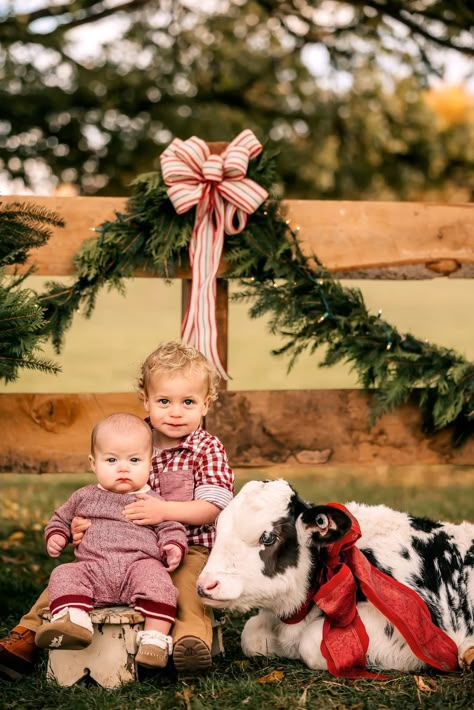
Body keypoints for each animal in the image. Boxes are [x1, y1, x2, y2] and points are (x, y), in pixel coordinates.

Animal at [197, 482, 474, 676]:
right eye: (218, 528)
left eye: (268, 537)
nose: (206, 584)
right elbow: (251, 635)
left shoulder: (418, 626)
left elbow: (311, 642)